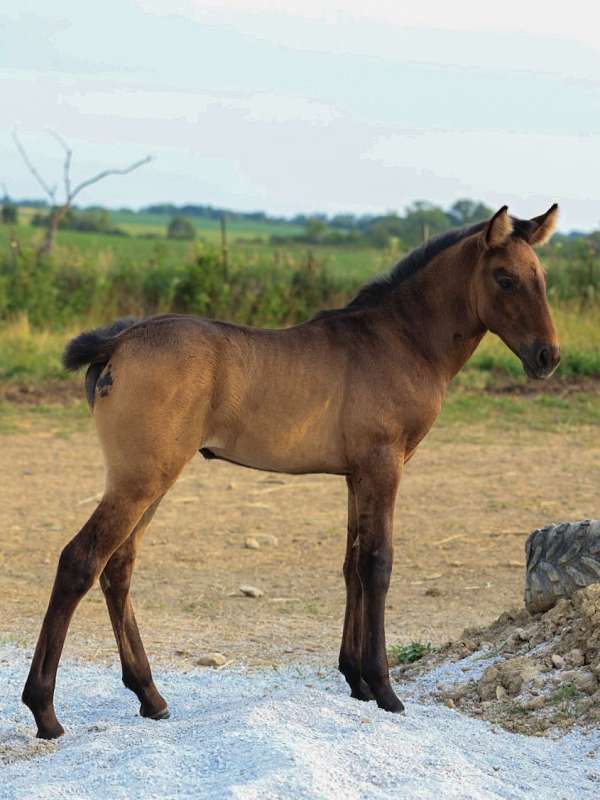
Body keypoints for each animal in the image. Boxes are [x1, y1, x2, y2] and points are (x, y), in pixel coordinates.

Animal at [21, 205, 560, 736]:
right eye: (506, 279)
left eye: (543, 278)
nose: (548, 357)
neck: (399, 340)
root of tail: (120, 340)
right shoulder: (384, 465)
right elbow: (379, 563)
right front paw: (384, 690)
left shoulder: (356, 475)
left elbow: (352, 565)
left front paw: (355, 680)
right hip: (140, 480)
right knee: (80, 561)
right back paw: (45, 710)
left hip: (151, 482)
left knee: (118, 566)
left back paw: (150, 697)